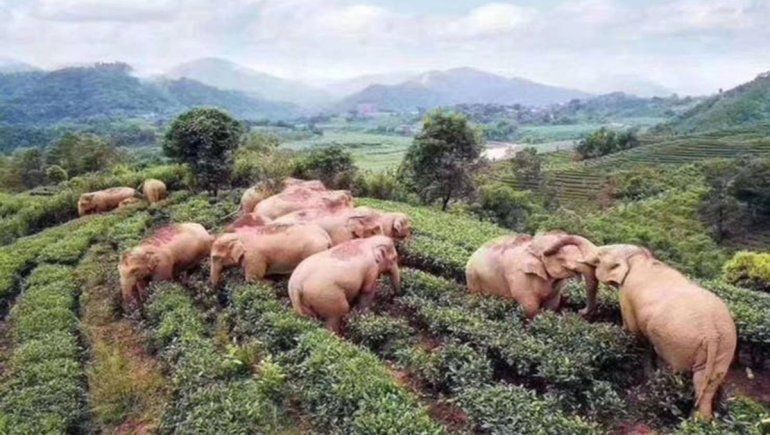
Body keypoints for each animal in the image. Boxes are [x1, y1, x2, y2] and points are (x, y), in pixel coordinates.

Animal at [465, 232, 598, 319]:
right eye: (561, 258)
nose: (580, 311)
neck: (533, 245)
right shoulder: (519, 275)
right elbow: (529, 306)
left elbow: (551, 305)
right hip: (473, 277)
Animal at [545, 241, 737, 420]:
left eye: (598, 258)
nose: (578, 311)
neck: (638, 257)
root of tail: (712, 333)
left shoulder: (626, 296)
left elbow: (633, 332)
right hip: (725, 347)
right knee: (705, 382)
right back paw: (698, 421)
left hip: (678, 343)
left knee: (675, 370)